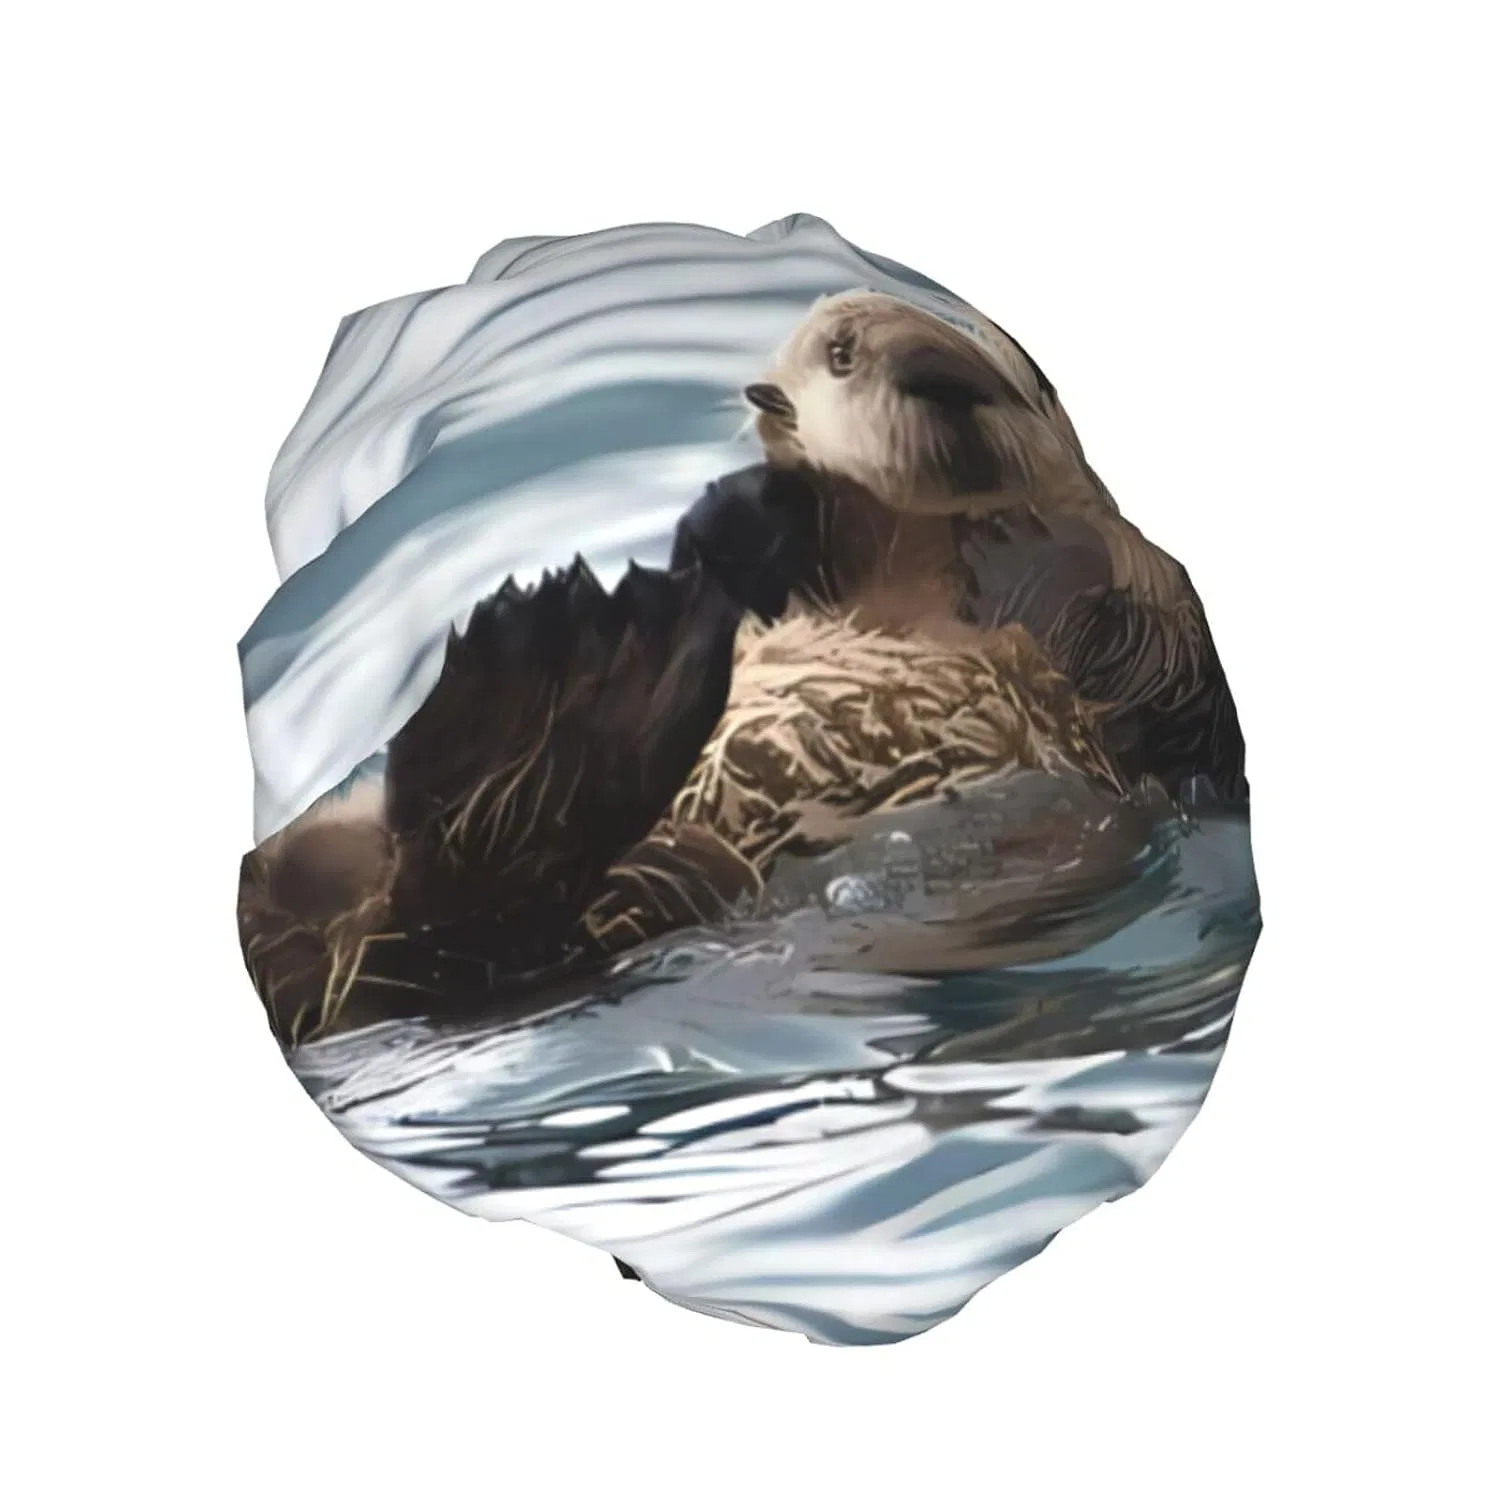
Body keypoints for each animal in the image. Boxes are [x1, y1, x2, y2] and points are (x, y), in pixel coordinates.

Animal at [238, 290, 1244, 1045]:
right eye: (833, 355)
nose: (925, 370)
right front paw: (738, 518)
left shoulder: (1117, 630)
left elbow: (1120, 623)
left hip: (663, 882)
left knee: (457, 927)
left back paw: (568, 671)